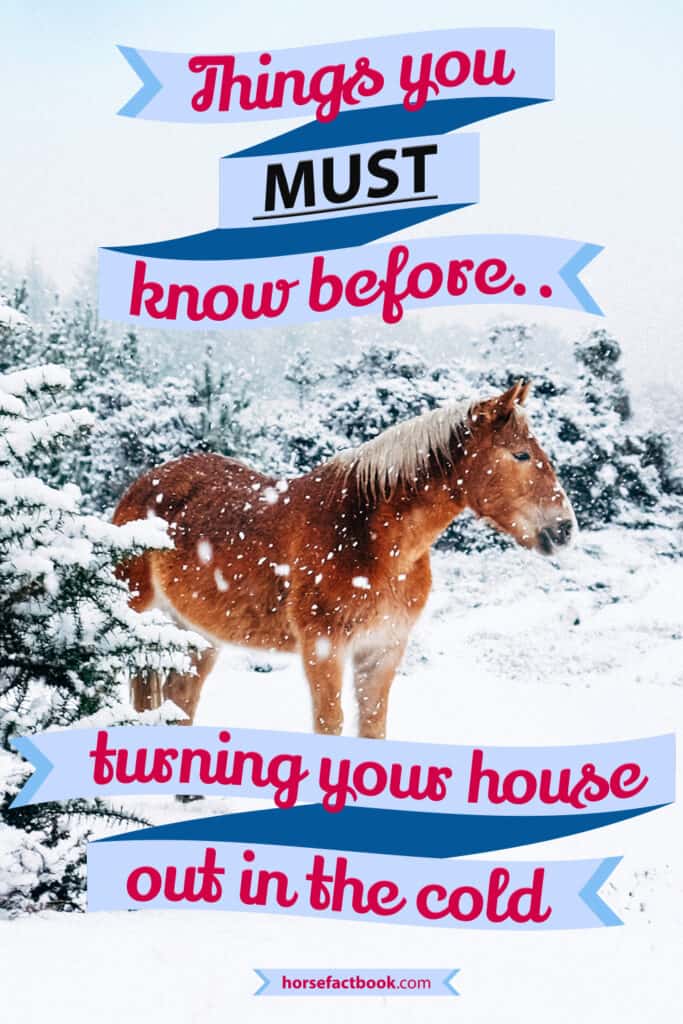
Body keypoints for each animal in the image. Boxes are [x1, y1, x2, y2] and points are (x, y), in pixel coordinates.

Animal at [113, 379, 576, 738]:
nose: (565, 528)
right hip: (138, 619)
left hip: (197, 632)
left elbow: (373, 727)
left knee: (181, 695)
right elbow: (329, 724)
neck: (374, 541)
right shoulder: (324, 648)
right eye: (520, 454)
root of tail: (143, 485)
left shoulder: (384, 650)